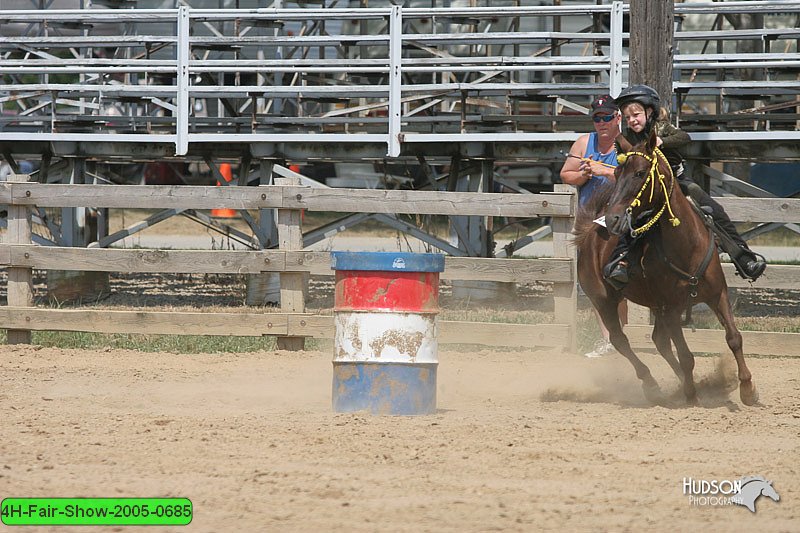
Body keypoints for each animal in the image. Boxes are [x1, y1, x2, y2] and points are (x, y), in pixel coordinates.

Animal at [576, 131, 756, 406]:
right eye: (616, 173)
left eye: (640, 173)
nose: (613, 218)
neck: (687, 246)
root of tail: (589, 232)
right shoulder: (671, 309)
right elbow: (686, 355)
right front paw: (691, 396)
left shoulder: (718, 295)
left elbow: (734, 338)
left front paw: (748, 389)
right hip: (603, 299)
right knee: (621, 340)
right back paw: (653, 385)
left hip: (656, 305)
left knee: (659, 342)